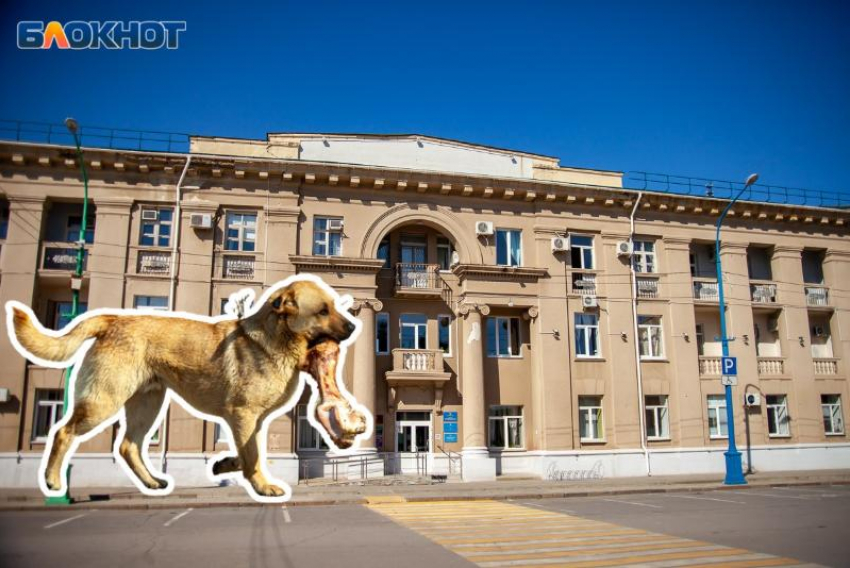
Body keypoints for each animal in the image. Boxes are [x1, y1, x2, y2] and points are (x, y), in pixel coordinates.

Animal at [7, 278, 368, 496]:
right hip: (103, 402)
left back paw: (152, 482)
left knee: (128, 446)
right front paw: (262, 485)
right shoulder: (243, 415)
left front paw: (225, 466)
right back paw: (53, 480)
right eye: (323, 310)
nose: (355, 327)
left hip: (147, 405)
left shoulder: (251, 422)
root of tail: (112, 319)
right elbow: (252, 455)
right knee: (64, 432)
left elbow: (247, 453)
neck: (275, 338)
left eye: (335, 306)